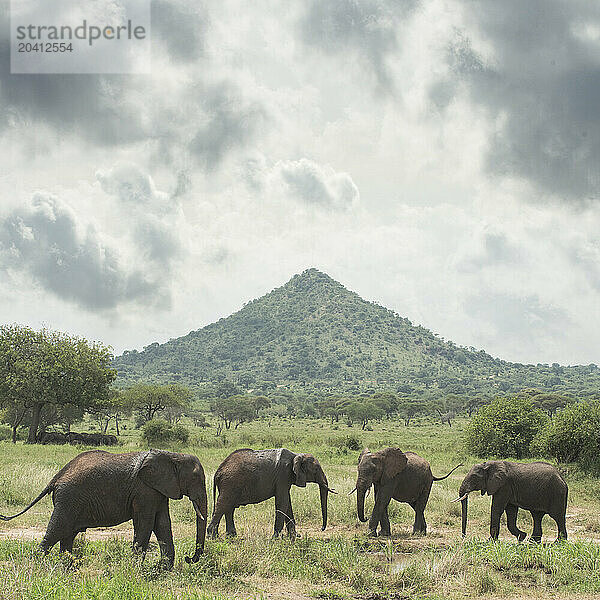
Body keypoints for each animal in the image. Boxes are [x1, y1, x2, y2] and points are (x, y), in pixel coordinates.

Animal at [0, 450, 209, 568]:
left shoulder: (158, 490)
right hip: (68, 499)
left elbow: (163, 524)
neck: (173, 456)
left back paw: (67, 567)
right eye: (197, 479)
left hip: (71, 501)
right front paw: (136, 570)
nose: (189, 558)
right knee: (57, 530)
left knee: (67, 535)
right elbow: (146, 523)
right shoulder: (145, 490)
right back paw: (37, 566)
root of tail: (56, 477)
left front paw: (161, 570)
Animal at [207, 446, 336, 540]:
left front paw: (294, 536)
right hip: (229, 483)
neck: (296, 455)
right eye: (316, 470)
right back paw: (213, 537)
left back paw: (231, 536)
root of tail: (218, 471)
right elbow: (282, 502)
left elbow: (287, 504)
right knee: (223, 505)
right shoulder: (283, 475)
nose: (322, 529)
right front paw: (275, 538)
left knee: (229, 508)